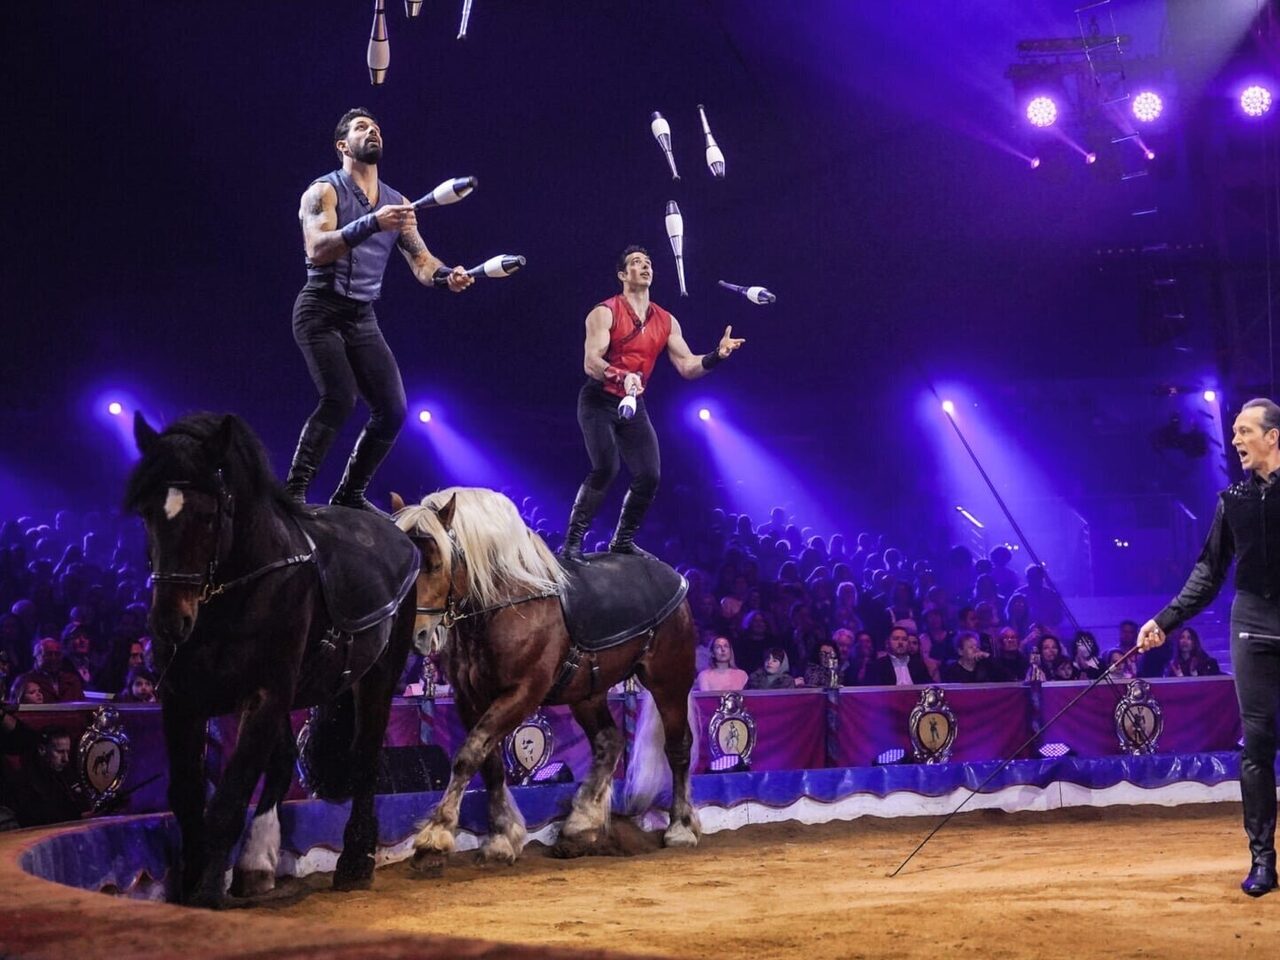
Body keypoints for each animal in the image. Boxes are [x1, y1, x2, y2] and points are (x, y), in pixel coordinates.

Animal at [125, 412, 419, 907]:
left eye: (209, 516)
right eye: (146, 513)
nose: (169, 622)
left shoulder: (264, 694)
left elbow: (228, 797)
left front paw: (206, 890)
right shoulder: (182, 697)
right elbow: (186, 793)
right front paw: (189, 879)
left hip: (378, 674)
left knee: (364, 755)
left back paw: (353, 860)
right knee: (282, 761)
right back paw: (256, 863)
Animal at [391, 486, 700, 868]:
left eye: (437, 563)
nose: (416, 634)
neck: (505, 605)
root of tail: (672, 574)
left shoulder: (522, 693)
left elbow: (469, 755)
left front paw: (436, 835)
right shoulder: (469, 699)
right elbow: (489, 763)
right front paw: (501, 838)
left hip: (669, 681)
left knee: (678, 747)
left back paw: (680, 827)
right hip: (588, 692)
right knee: (609, 742)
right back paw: (581, 825)